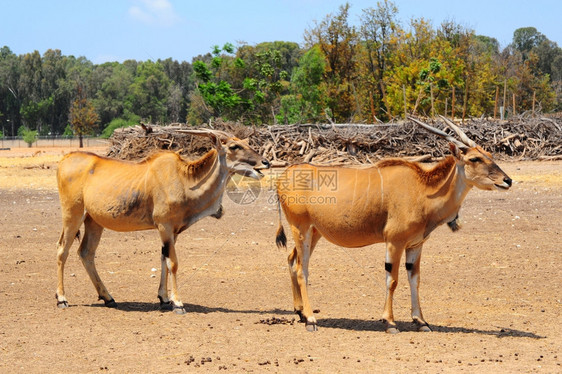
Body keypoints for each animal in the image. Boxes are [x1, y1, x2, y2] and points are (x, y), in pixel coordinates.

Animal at [55, 129, 270, 312]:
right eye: (234, 146)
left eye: (246, 143)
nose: (265, 162)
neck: (184, 179)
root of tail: (65, 160)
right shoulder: (164, 226)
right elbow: (173, 262)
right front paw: (178, 303)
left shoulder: (172, 231)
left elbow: (164, 259)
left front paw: (165, 300)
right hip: (72, 215)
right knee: (62, 250)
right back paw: (62, 299)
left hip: (94, 222)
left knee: (86, 253)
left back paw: (108, 298)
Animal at [274, 117, 510, 334]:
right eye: (474, 158)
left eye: (490, 155)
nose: (507, 180)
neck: (422, 189)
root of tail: (284, 176)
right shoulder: (394, 241)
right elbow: (393, 280)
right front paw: (390, 322)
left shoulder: (415, 245)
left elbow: (415, 279)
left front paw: (421, 321)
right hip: (300, 229)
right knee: (301, 269)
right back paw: (311, 320)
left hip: (314, 232)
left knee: (292, 260)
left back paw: (301, 313)